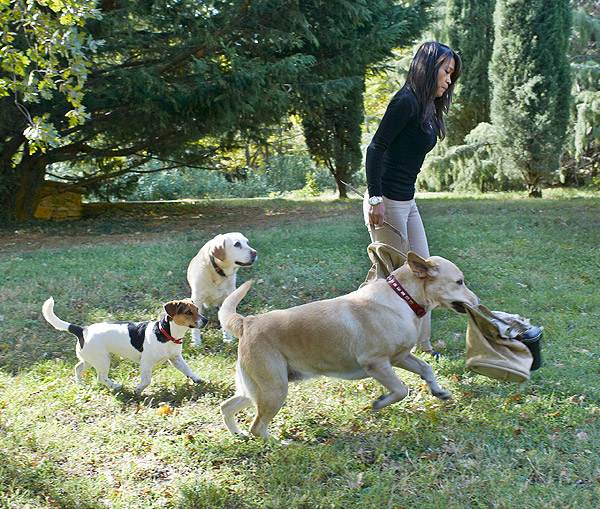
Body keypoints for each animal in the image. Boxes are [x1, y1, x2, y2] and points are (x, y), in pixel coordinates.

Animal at [41, 296, 207, 394]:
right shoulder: (146, 363)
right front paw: (138, 390)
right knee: (101, 378)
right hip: (103, 361)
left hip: (91, 359)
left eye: (197, 309)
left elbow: (188, 370)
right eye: (188, 312)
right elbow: (146, 381)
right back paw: (117, 386)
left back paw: (80, 384)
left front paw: (198, 380)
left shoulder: (176, 359)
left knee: (78, 368)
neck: (166, 333)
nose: (205, 320)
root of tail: (82, 330)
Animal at [219, 252, 478, 438]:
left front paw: (438, 390)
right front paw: (380, 402)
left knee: (226, 406)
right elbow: (400, 389)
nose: (477, 301)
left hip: (257, 389)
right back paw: (280, 444)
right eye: (459, 282)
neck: (402, 298)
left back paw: (237, 434)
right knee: (257, 427)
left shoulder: (400, 357)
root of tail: (247, 322)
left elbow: (426, 368)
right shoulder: (377, 363)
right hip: (274, 390)